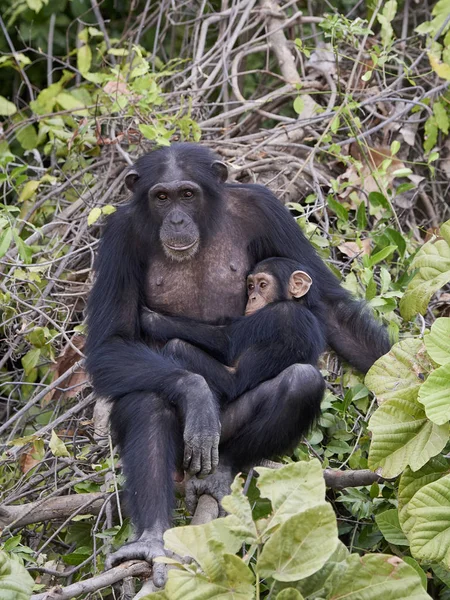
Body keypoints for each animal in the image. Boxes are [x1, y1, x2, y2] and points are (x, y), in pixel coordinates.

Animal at [141, 255, 326, 406]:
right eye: (250, 286)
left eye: (263, 285)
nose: (252, 298)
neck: (297, 303)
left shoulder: (280, 312)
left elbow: (227, 340)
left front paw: (149, 318)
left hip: (228, 388)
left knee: (178, 347)